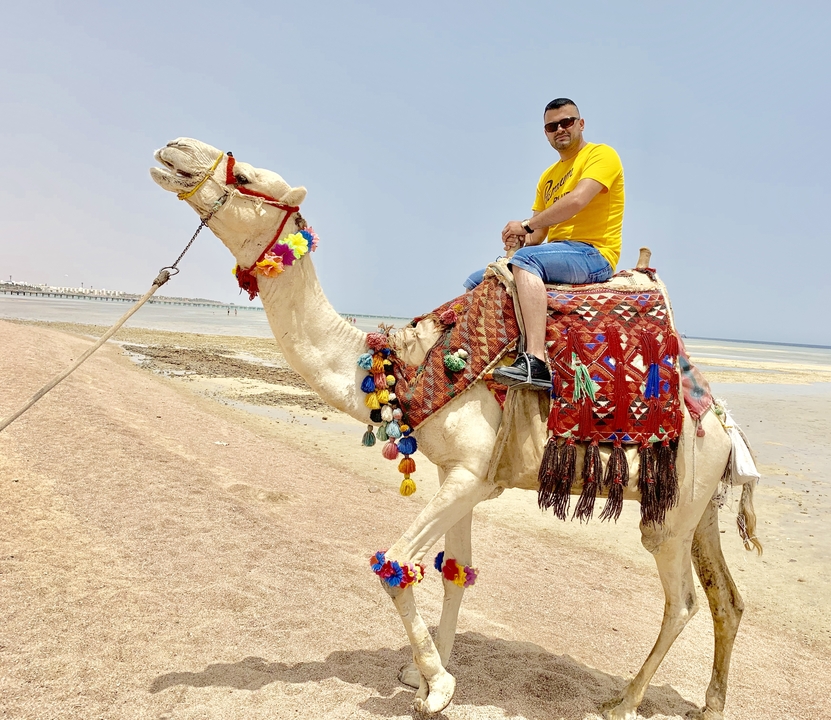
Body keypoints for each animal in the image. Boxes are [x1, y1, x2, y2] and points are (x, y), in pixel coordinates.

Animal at [150, 138, 760, 720]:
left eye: (247, 176)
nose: (174, 147)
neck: (406, 364)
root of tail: (722, 421)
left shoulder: (470, 473)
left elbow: (395, 563)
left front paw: (436, 688)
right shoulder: (460, 474)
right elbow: (454, 572)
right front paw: (428, 674)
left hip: (674, 508)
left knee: (681, 600)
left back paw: (624, 702)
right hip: (701, 506)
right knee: (725, 597)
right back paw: (711, 704)